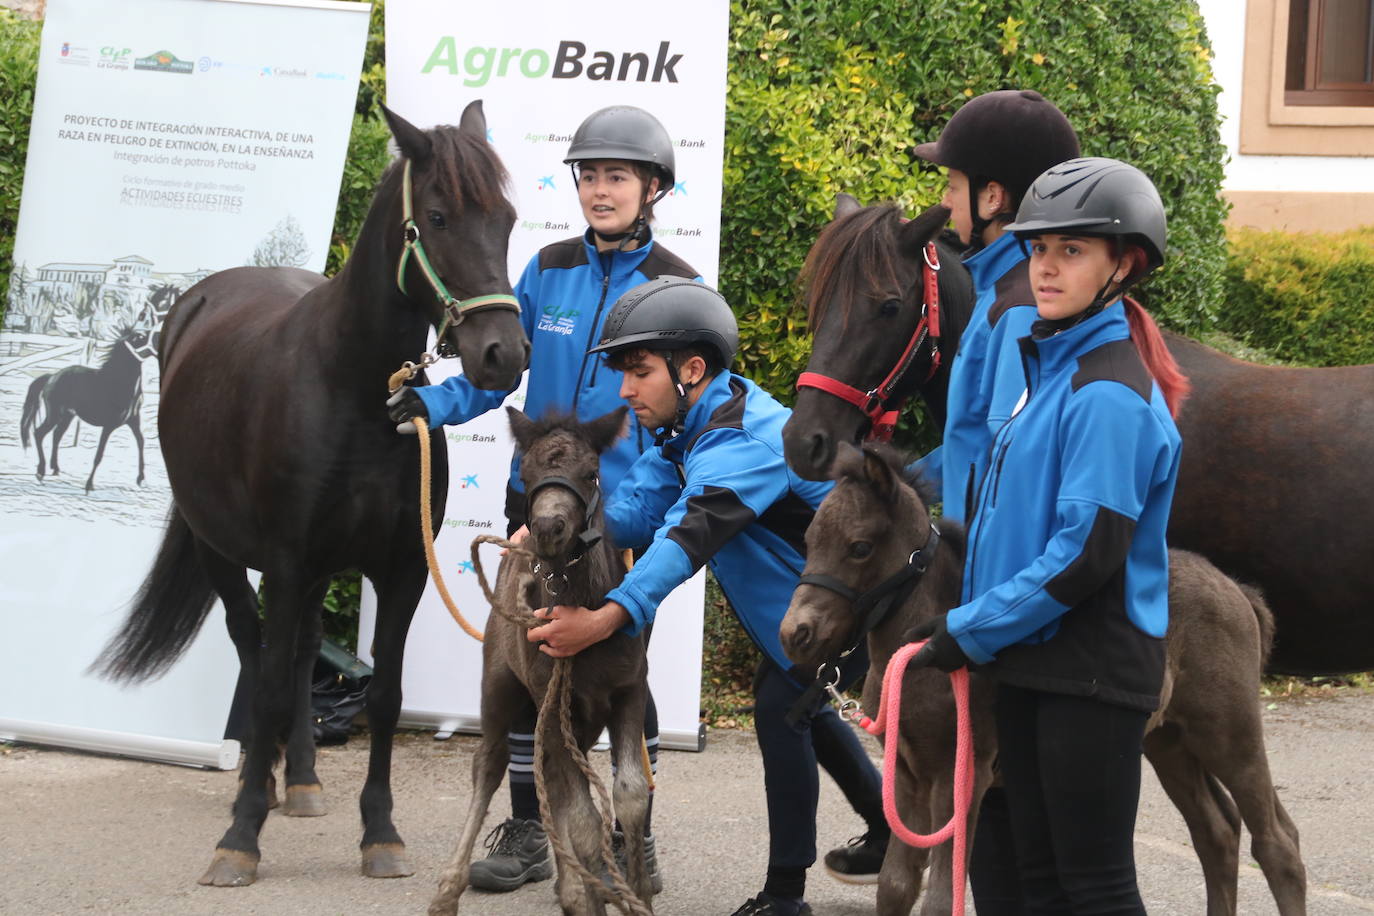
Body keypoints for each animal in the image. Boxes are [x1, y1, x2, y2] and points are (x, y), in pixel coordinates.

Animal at [18, 324, 155, 494]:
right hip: (54, 415)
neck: (118, 383)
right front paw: (89, 485)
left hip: (67, 416)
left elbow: (141, 443)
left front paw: (141, 479)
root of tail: (51, 376)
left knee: (56, 435)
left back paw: (55, 468)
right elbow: (99, 454)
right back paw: (40, 472)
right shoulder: (109, 425)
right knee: (39, 433)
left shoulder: (134, 421)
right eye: (140, 337)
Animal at [92, 103, 530, 889]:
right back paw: (262, 782)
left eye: (506, 219)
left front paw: (380, 833)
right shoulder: (288, 563)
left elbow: (384, 695)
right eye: (439, 217)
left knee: (297, 653)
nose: (502, 355)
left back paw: (299, 780)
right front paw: (241, 836)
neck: (352, 388)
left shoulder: (400, 569)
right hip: (221, 549)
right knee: (253, 644)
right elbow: (264, 687)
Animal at [428, 409, 648, 916]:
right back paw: (449, 888)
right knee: (490, 764)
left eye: (592, 473)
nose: (547, 528)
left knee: (551, 778)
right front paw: (595, 896)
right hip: (501, 688)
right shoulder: (551, 701)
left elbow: (629, 795)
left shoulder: (630, 691)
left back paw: (571, 888)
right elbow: (585, 819)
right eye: (524, 474)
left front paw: (633, 895)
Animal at [785, 439, 1308, 911]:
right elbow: (895, 886)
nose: (795, 634)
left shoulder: (961, 772)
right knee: (1216, 832)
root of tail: (1237, 589)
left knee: (1277, 841)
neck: (914, 660)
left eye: (859, 547)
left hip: (1229, 733)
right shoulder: (906, 773)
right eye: (807, 542)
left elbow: (941, 896)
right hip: (1168, 741)